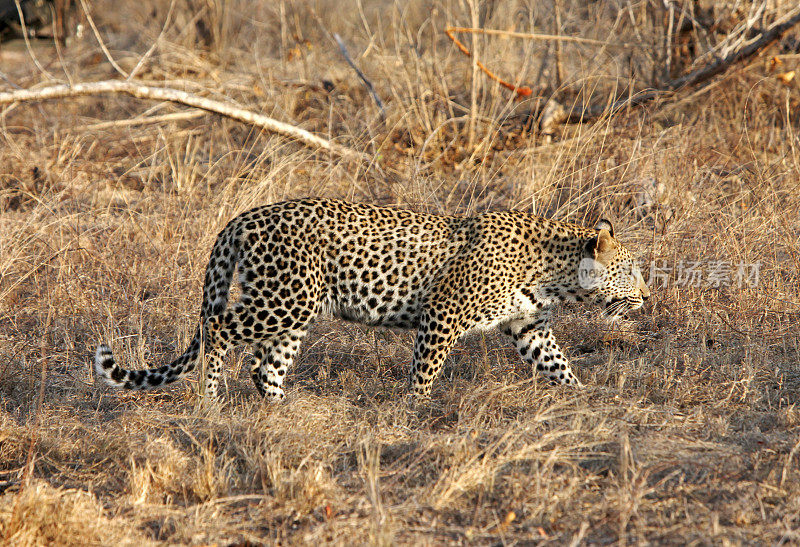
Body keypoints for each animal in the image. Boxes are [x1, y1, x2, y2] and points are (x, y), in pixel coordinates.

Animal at [94, 199, 648, 400]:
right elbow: (426, 369)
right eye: (630, 271)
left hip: (293, 308)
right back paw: (210, 401)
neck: (555, 273)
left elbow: (558, 363)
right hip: (283, 299)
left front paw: (584, 398)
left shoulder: (528, 326)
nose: (646, 296)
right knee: (218, 329)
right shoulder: (443, 313)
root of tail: (245, 216)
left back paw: (283, 410)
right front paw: (415, 411)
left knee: (264, 363)